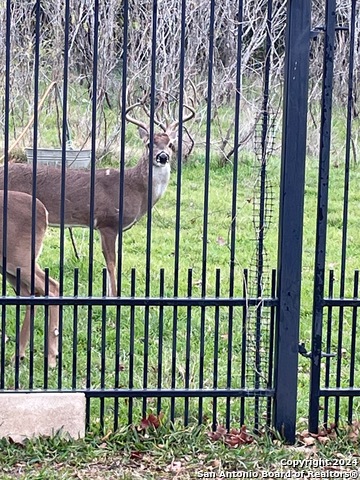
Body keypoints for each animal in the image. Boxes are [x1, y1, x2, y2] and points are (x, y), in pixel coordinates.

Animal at [0, 102, 194, 294]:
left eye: (170, 144)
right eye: (148, 144)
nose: (163, 157)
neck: (134, 188)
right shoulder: (108, 222)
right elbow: (112, 265)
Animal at [0, 191, 59, 368]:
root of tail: (44, 213)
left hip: (20, 258)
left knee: (52, 287)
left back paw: (51, 357)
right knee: (30, 296)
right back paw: (18, 355)